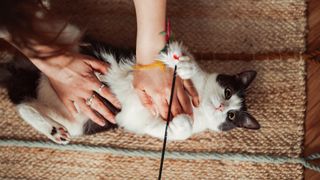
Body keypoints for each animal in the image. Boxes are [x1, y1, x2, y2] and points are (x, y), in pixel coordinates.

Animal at [0, 41, 260, 145]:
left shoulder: (143, 123)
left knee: (21, 102)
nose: (221, 107)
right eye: (227, 91)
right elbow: (178, 57)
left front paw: (181, 122)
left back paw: (53, 130)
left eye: (232, 117)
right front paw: (186, 67)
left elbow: (175, 129)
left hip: (80, 121)